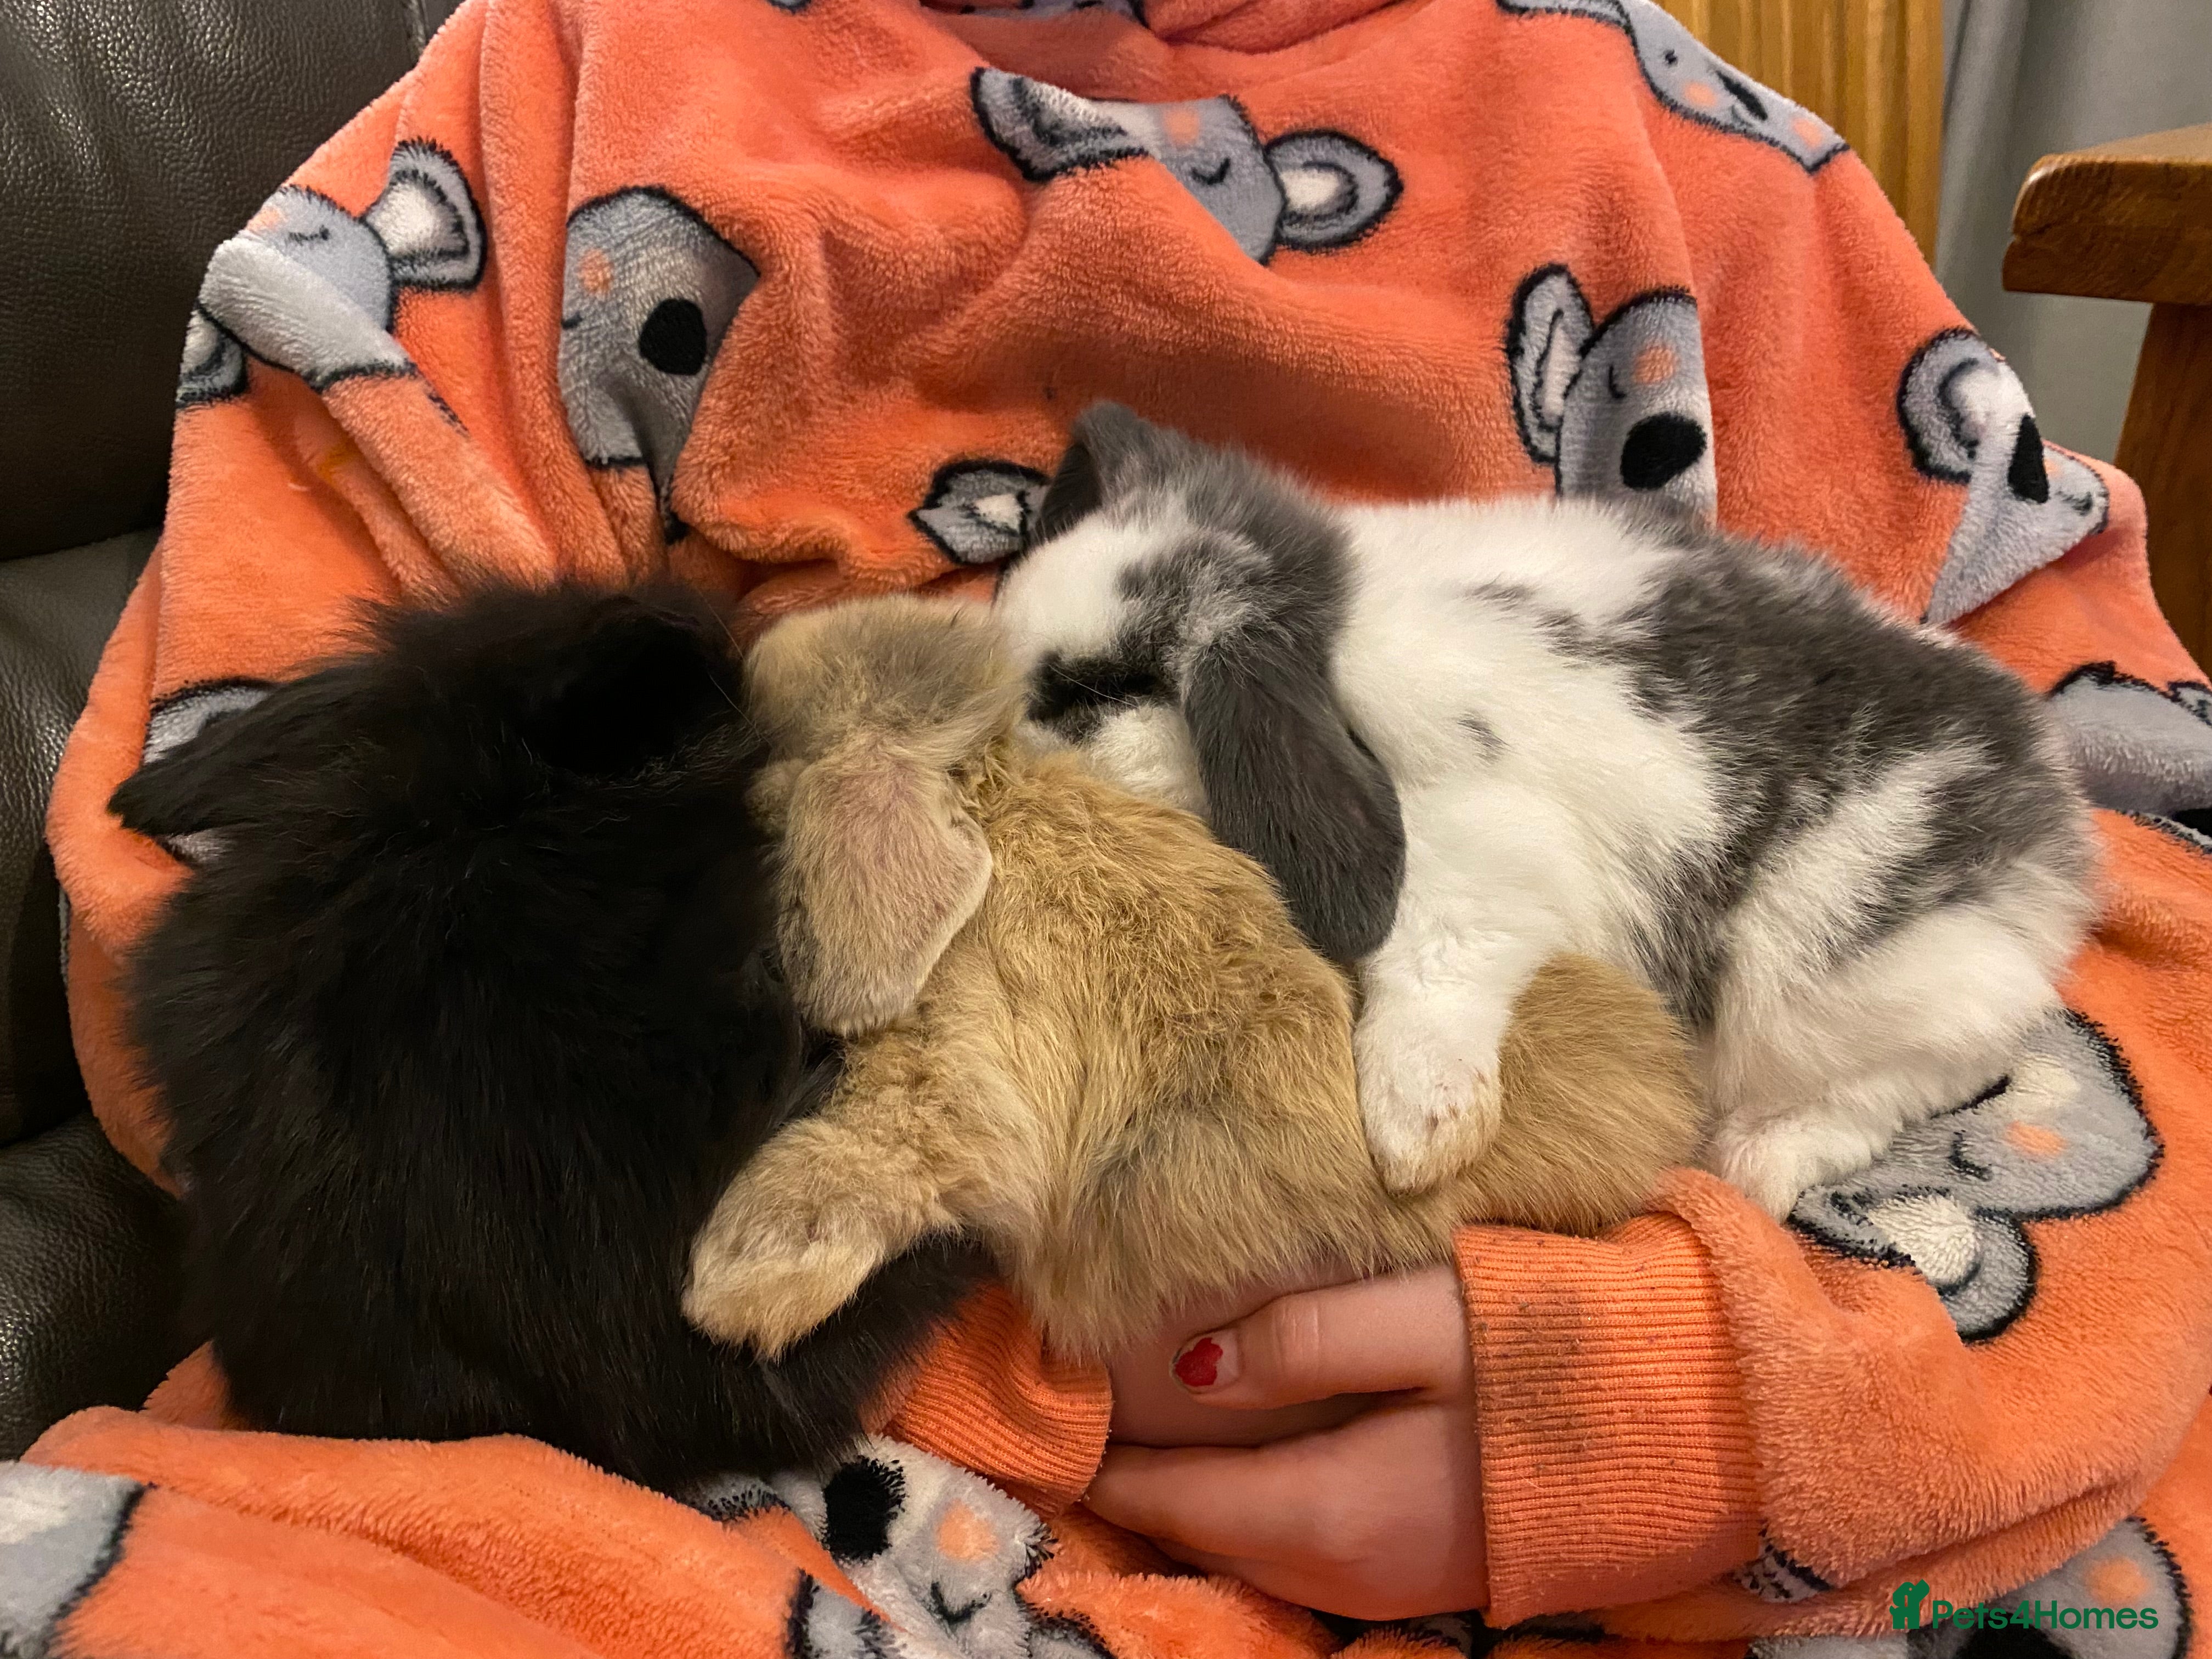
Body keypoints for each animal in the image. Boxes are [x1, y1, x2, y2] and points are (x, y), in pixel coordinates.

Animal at [991, 404, 2099, 1217]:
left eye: (1095, 689)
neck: (1334, 652)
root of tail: (2056, 838)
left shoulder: (1480, 866)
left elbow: (1435, 975)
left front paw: (1417, 1135)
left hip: (1842, 984)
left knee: (1906, 1082)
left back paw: (1757, 1161)